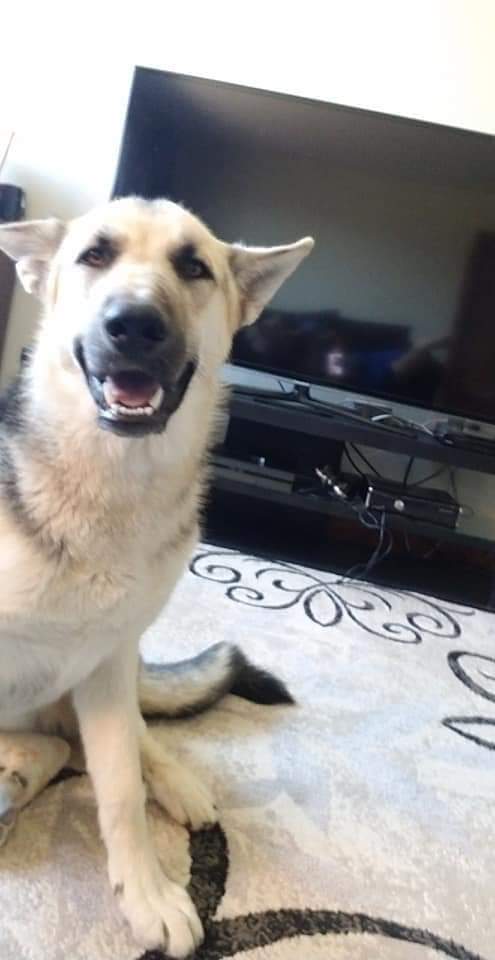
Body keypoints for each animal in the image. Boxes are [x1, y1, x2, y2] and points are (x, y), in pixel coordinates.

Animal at [0, 197, 313, 957]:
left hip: (111, 676)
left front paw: (143, 891)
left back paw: (171, 781)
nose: (135, 325)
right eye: (94, 255)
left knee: (116, 737)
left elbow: (120, 793)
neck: (111, 483)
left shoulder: (106, 666)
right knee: (57, 743)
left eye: (192, 267)